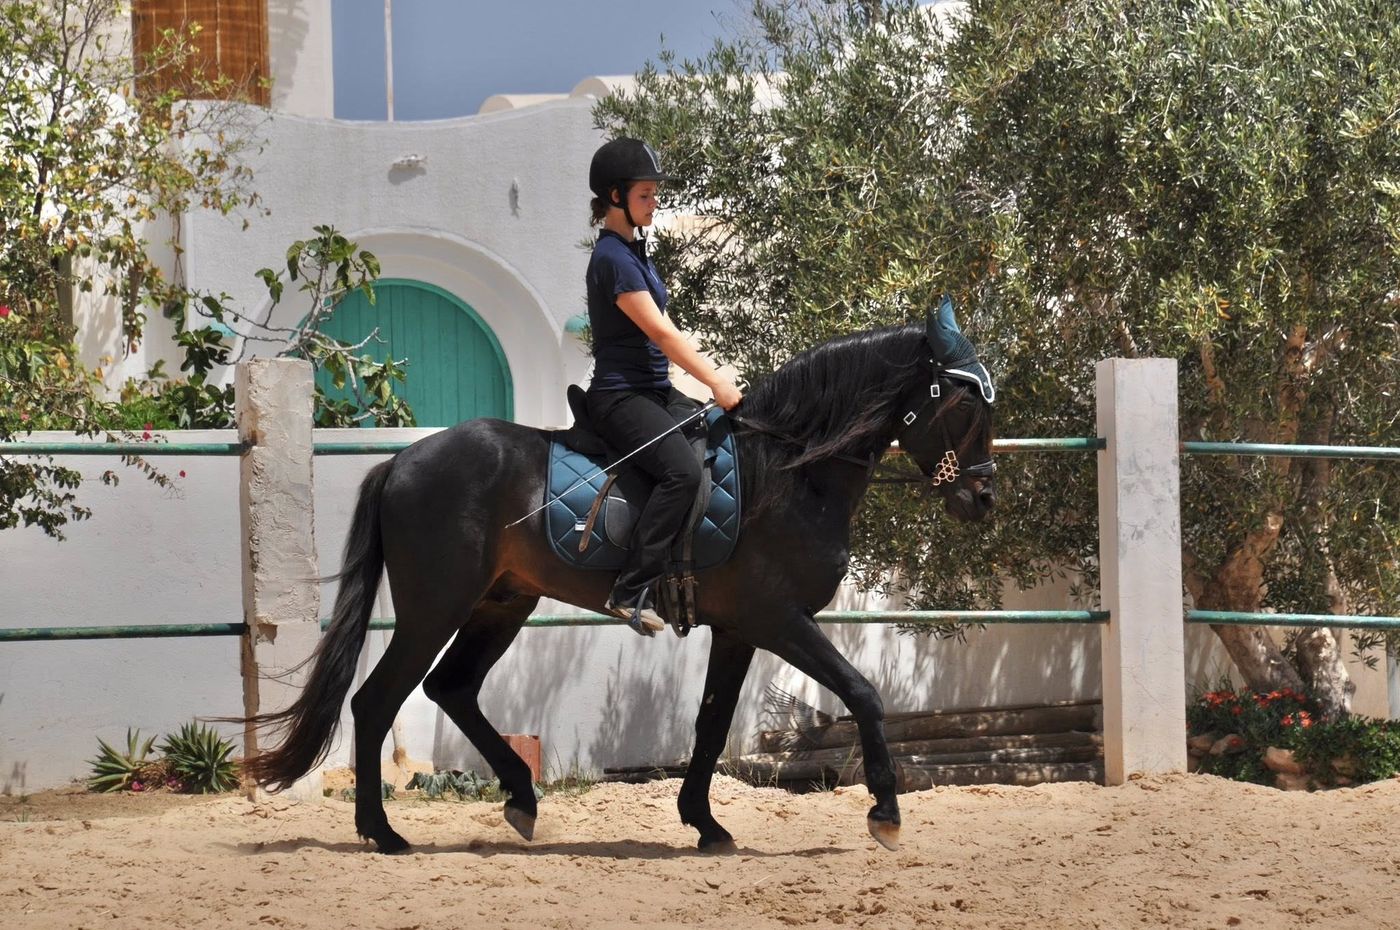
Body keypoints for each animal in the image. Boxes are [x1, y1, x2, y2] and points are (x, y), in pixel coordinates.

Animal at [242, 299, 997, 855]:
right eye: (963, 405)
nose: (982, 499)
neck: (787, 472)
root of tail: (400, 462)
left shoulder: (739, 629)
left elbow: (712, 723)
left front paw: (706, 824)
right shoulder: (779, 619)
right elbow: (864, 693)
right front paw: (886, 812)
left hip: (501, 604)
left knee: (450, 688)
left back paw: (520, 799)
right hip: (436, 607)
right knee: (377, 701)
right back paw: (384, 832)